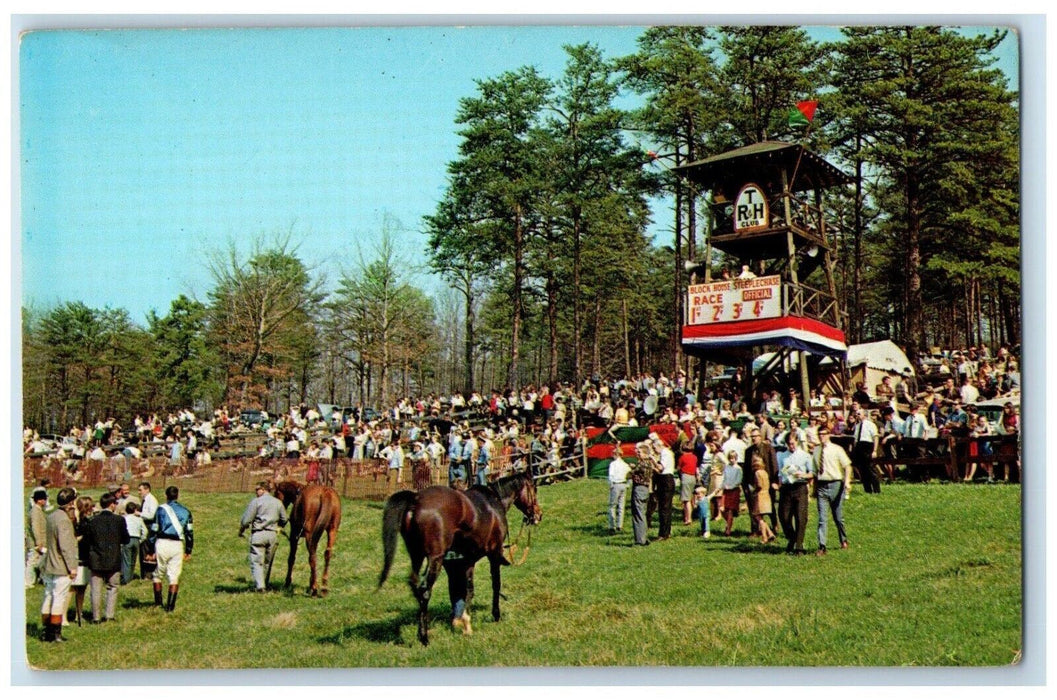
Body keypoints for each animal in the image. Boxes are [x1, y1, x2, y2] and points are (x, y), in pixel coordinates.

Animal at [378, 471, 541, 647]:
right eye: (534, 489)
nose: (538, 515)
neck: (494, 501)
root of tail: (415, 500)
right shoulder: (494, 554)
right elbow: (495, 585)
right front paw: (495, 615)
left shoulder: (467, 561)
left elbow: (466, 591)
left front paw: (462, 621)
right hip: (435, 559)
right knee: (425, 591)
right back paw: (424, 637)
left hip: (417, 556)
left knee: (415, 586)